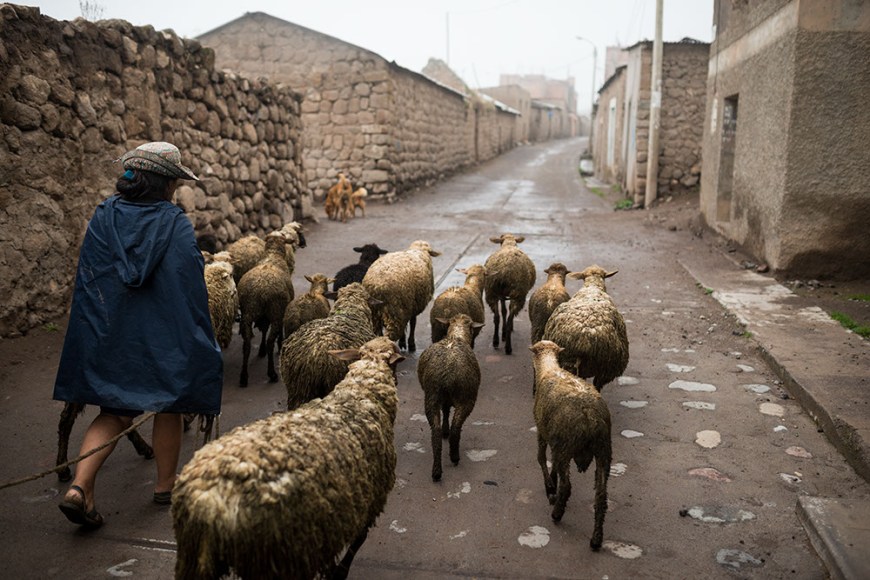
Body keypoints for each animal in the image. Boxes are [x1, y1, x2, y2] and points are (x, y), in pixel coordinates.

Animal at [172, 336, 404, 580]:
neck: (361, 394)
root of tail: (209, 501)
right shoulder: (373, 499)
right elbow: (358, 541)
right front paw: (339, 571)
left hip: (194, 558)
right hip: (276, 559)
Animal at [237, 232, 295, 387]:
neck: (273, 255)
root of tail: (260, 290)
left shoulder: (262, 316)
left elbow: (262, 330)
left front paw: (261, 350)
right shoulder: (282, 311)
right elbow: (277, 333)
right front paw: (279, 345)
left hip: (248, 312)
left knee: (246, 344)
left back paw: (244, 377)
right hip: (274, 311)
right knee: (270, 341)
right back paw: (272, 374)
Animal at [417, 313, 483, 482]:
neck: (456, 336)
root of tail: (448, 371)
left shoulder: (444, 399)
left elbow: (446, 411)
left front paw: (445, 429)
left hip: (432, 396)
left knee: (436, 432)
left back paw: (436, 471)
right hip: (467, 398)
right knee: (456, 428)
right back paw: (454, 456)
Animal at [529, 340, 612, 551]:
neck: (549, 369)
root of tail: (589, 416)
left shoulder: (542, 431)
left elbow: (541, 458)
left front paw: (550, 488)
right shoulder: (556, 441)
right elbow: (552, 465)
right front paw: (552, 483)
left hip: (568, 446)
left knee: (567, 486)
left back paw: (557, 513)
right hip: (603, 450)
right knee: (601, 495)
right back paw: (596, 539)